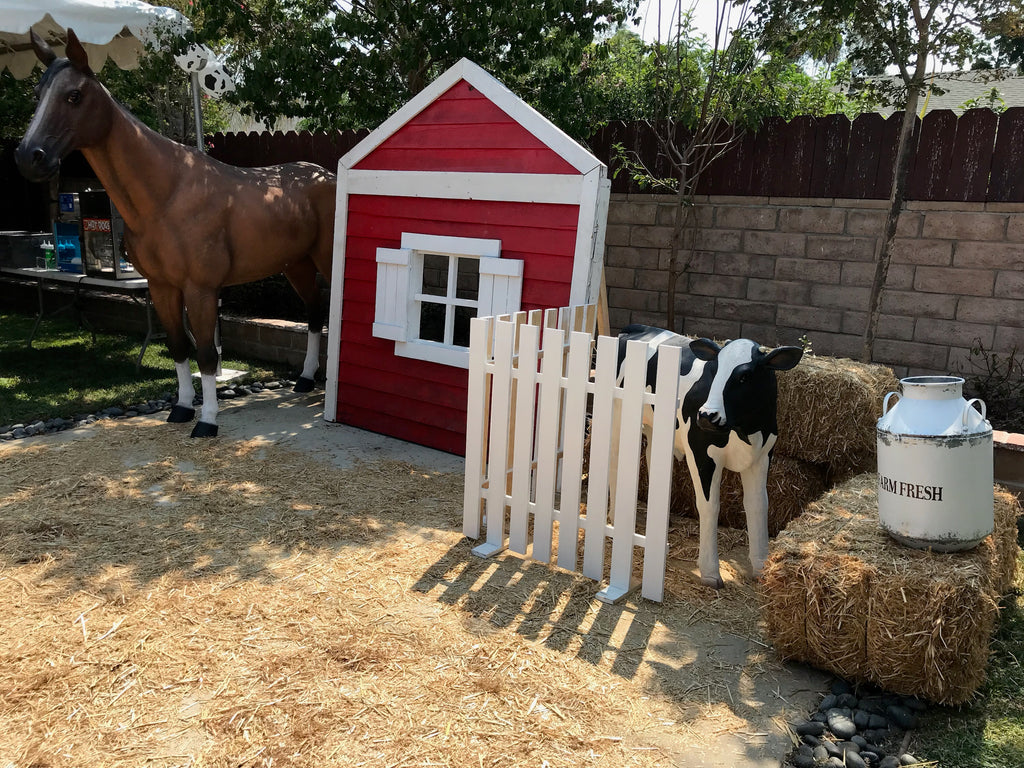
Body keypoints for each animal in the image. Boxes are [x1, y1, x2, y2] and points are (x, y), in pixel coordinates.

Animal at [15, 29, 336, 437]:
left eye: (74, 95)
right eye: (38, 93)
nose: (29, 156)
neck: (168, 194)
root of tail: (325, 175)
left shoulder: (200, 289)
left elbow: (207, 354)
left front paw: (208, 421)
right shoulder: (162, 287)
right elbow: (180, 347)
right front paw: (182, 408)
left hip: (325, 259)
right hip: (295, 264)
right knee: (313, 312)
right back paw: (306, 379)